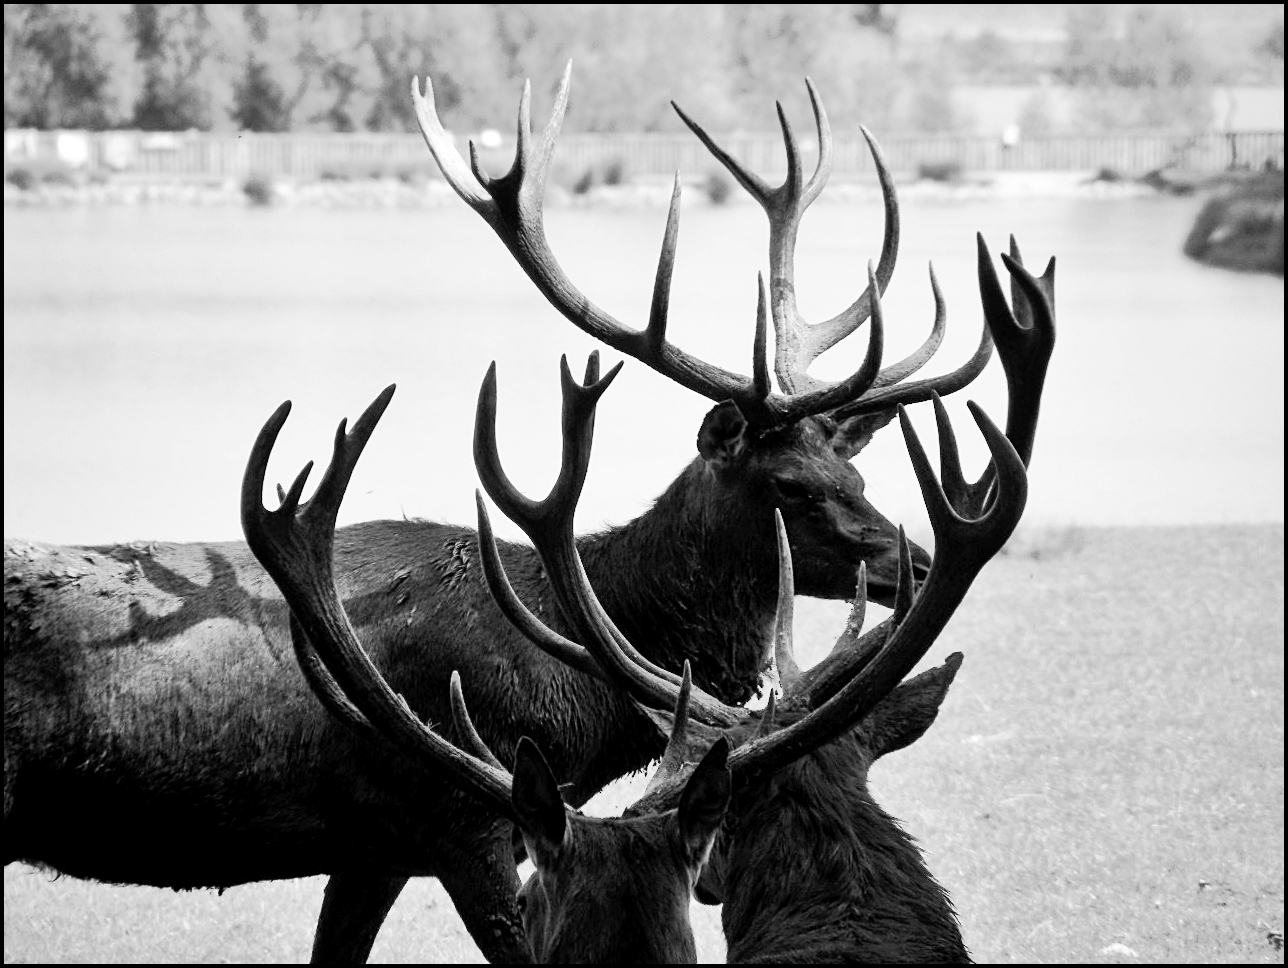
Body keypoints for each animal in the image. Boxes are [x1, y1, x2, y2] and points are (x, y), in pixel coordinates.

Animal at [5, 66, 1051, 962]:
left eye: (852, 467)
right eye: (791, 485)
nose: (913, 557)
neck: (581, 684)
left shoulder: (377, 849)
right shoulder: (466, 818)